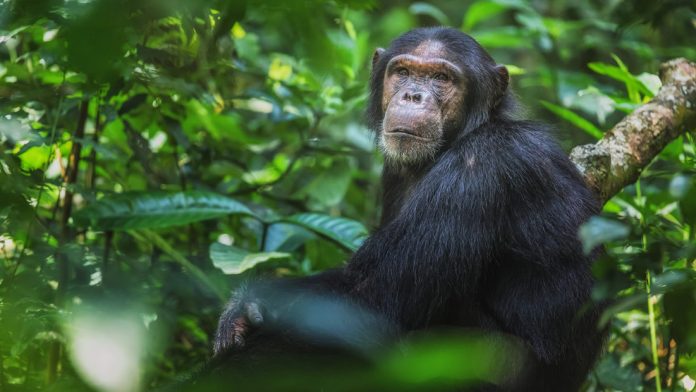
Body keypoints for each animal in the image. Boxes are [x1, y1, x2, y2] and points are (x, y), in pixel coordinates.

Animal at [215, 26, 608, 388]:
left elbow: (369, 297)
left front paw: (254, 308)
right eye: (402, 72)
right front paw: (243, 306)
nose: (413, 95)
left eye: (442, 78)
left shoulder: (480, 169)